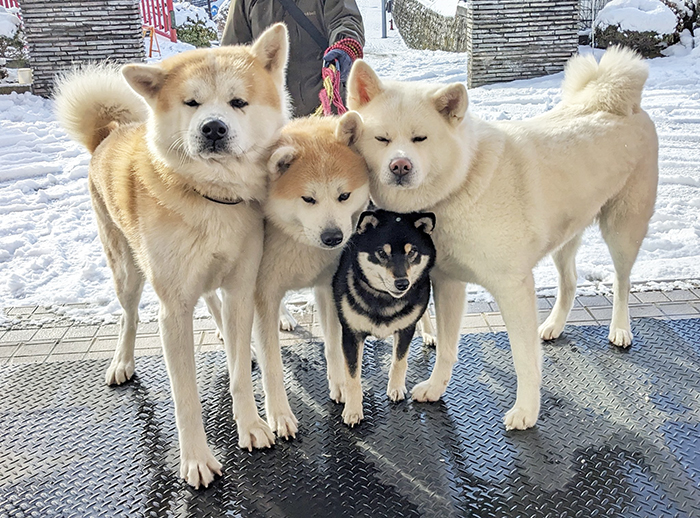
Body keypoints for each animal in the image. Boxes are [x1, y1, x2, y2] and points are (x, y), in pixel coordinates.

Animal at [54, 24, 290, 490]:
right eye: (191, 103)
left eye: (238, 102)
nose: (213, 128)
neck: (214, 199)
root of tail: (108, 133)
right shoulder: (173, 308)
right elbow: (185, 397)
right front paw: (196, 459)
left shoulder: (240, 288)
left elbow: (239, 375)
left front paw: (251, 425)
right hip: (127, 273)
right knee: (128, 317)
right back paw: (122, 362)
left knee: (213, 302)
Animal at [253, 115, 372, 438]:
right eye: (308, 199)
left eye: (344, 195)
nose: (333, 237)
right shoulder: (261, 295)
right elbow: (272, 365)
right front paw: (279, 414)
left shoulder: (327, 288)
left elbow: (333, 344)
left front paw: (341, 384)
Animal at [330, 209, 434, 428]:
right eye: (382, 253)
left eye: (412, 252)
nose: (402, 283)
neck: (384, 299)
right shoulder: (351, 335)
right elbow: (352, 377)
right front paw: (353, 410)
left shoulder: (406, 329)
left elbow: (399, 361)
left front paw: (395, 387)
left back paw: (429, 333)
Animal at [342, 47, 660, 430]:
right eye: (382, 139)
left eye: (420, 139)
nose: (400, 166)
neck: (462, 182)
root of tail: (617, 100)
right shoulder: (448, 283)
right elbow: (447, 348)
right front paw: (436, 387)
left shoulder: (513, 288)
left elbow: (524, 359)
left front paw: (526, 411)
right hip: (565, 238)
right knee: (569, 282)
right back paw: (554, 325)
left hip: (622, 231)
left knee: (622, 282)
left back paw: (620, 329)